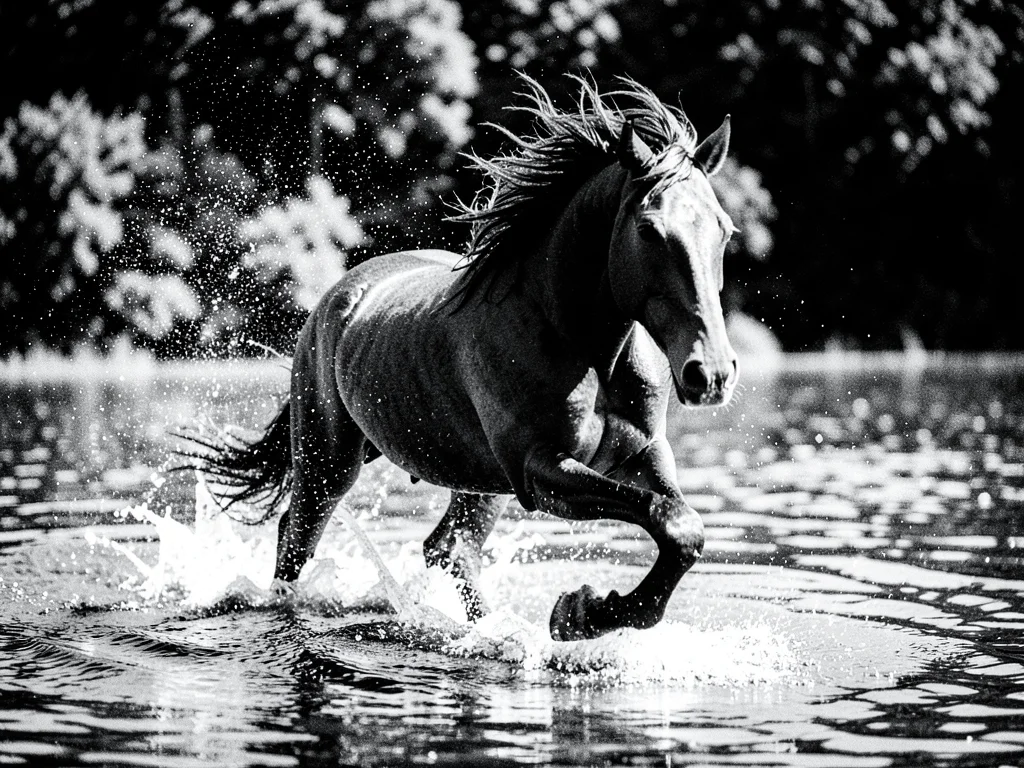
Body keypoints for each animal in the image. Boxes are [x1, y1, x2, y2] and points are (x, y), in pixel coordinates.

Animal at [192, 75, 739, 641]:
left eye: (724, 229)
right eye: (650, 229)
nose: (711, 375)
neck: (582, 345)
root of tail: (337, 297)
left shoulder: (644, 453)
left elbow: (682, 526)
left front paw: (584, 612)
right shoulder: (540, 470)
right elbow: (667, 519)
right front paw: (582, 612)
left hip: (476, 479)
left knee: (450, 549)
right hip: (329, 461)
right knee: (298, 535)